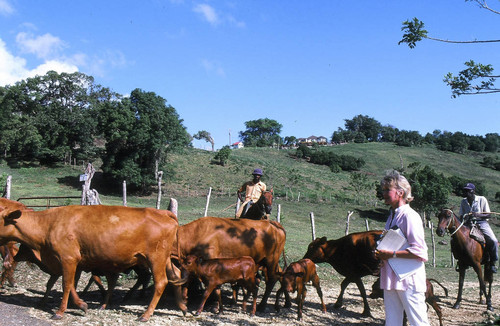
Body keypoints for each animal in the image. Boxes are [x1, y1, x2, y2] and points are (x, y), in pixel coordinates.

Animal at [0, 205, 186, 322]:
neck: (49, 223)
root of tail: (162, 212)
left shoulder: (68, 258)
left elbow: (66, 284)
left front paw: (60, 312)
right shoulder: (75, 262)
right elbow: (71, 284)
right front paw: (81, 305)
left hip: (156, 258)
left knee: (161, 282)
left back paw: (146, 315)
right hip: (164, 259)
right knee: (175, 276)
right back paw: (183, 307)